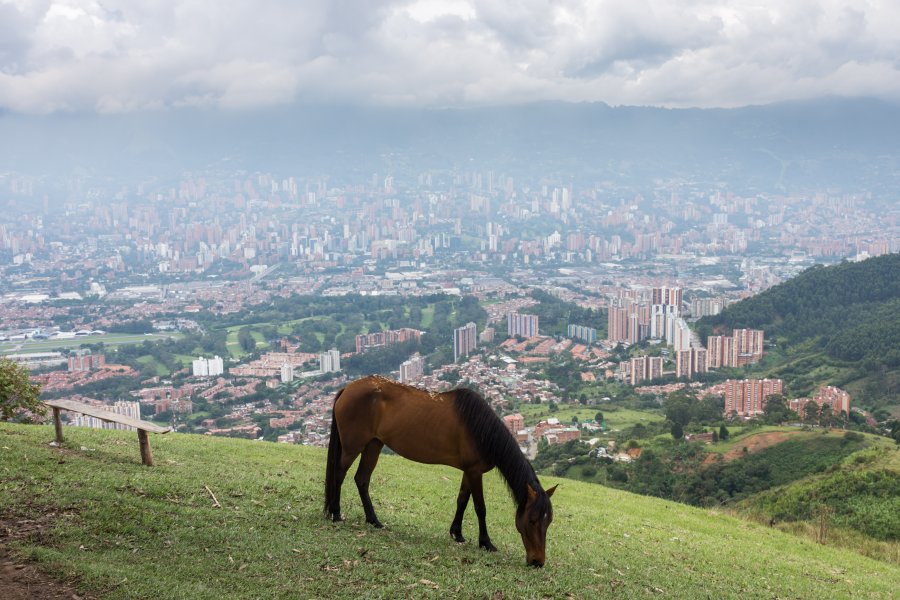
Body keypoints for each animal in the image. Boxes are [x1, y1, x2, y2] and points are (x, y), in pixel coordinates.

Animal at [326, 376, 556, 568]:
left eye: (548, 522)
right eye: (532, 520)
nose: (538, 562)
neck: (481, 430)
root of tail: (347, 389)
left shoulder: (469, 471)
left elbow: (462, 500)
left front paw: (457, 533)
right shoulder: (475, 472)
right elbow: (480, 508)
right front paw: (485, 543)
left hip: (373, 445)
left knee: (362, 479)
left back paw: (373, 520)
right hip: (352, 447)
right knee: (339, 475)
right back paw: (336, 514)